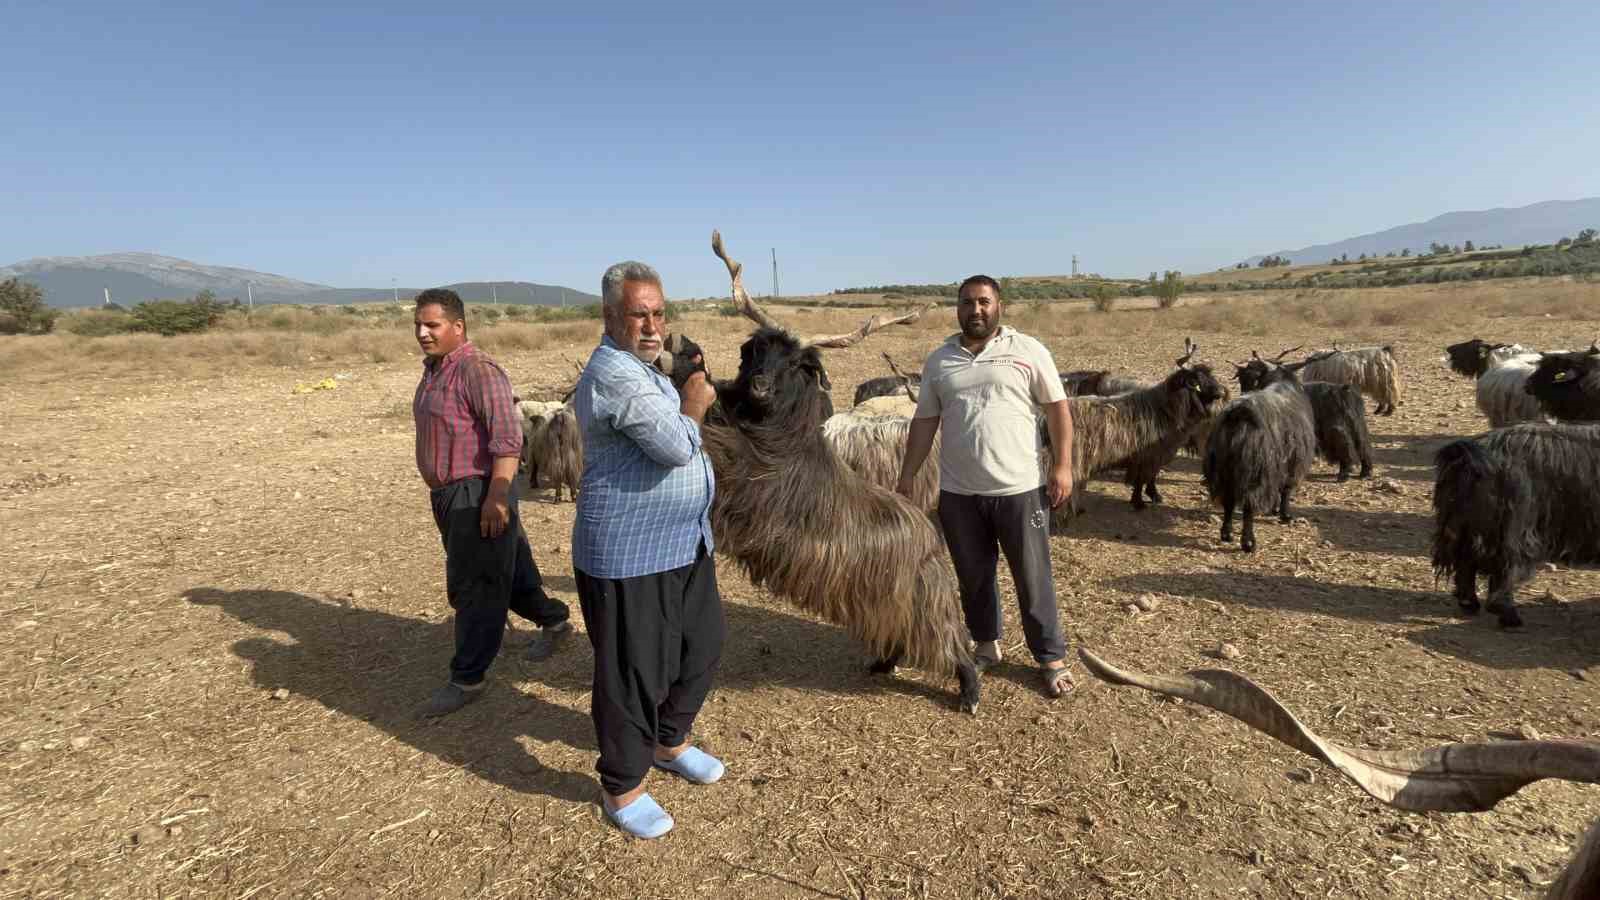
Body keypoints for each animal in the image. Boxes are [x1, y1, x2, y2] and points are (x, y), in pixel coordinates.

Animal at [1235, 344, 1376, 483]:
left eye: (1255, 377)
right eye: (1241, 379)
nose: (1244, 394)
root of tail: (1344, 391)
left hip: (1337, 428)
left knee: (1345, 445)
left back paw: (1344, 474)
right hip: (1357, 425)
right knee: (1363, 445)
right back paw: (1365, 472)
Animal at [1433, 419, 1600, 624]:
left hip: (1463, 526)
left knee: (1466, 564)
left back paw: (1469, 603)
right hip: (1513, 528)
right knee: (1505, 568)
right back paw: (1508, 615)